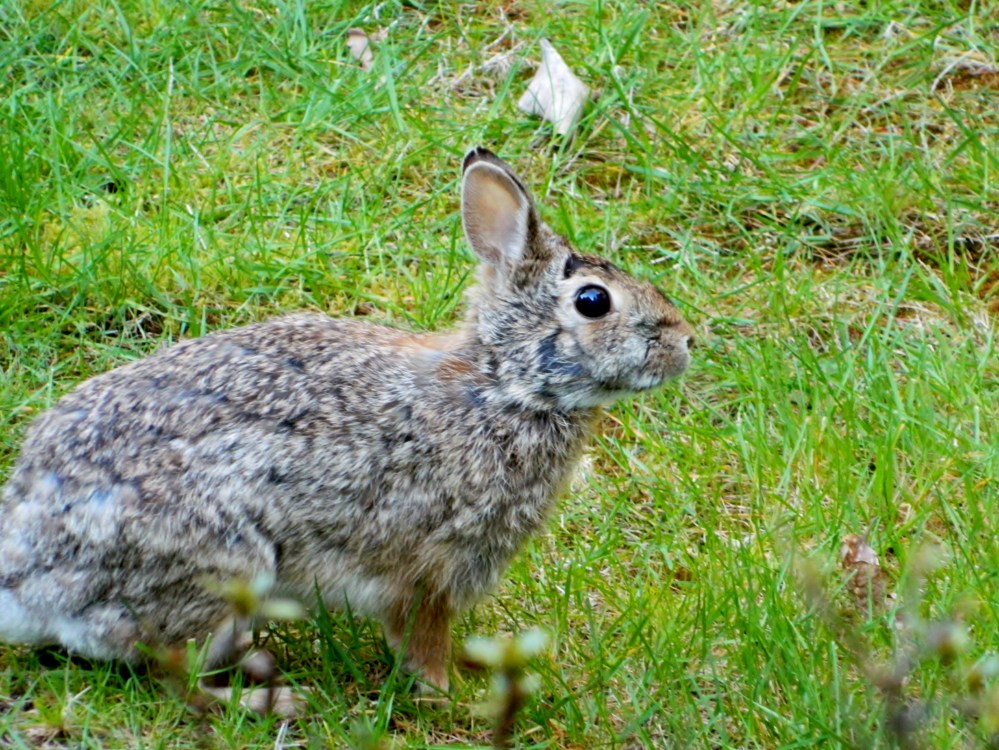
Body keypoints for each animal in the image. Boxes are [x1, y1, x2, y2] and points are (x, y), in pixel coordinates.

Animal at [0, 147, 694, 692]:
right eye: (593, 302)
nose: (686, 342)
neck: (505, 387)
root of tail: (26, 573)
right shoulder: (430, 567)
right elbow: (420, 640)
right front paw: (449, 696)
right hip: (222, 565)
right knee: (170, 668)